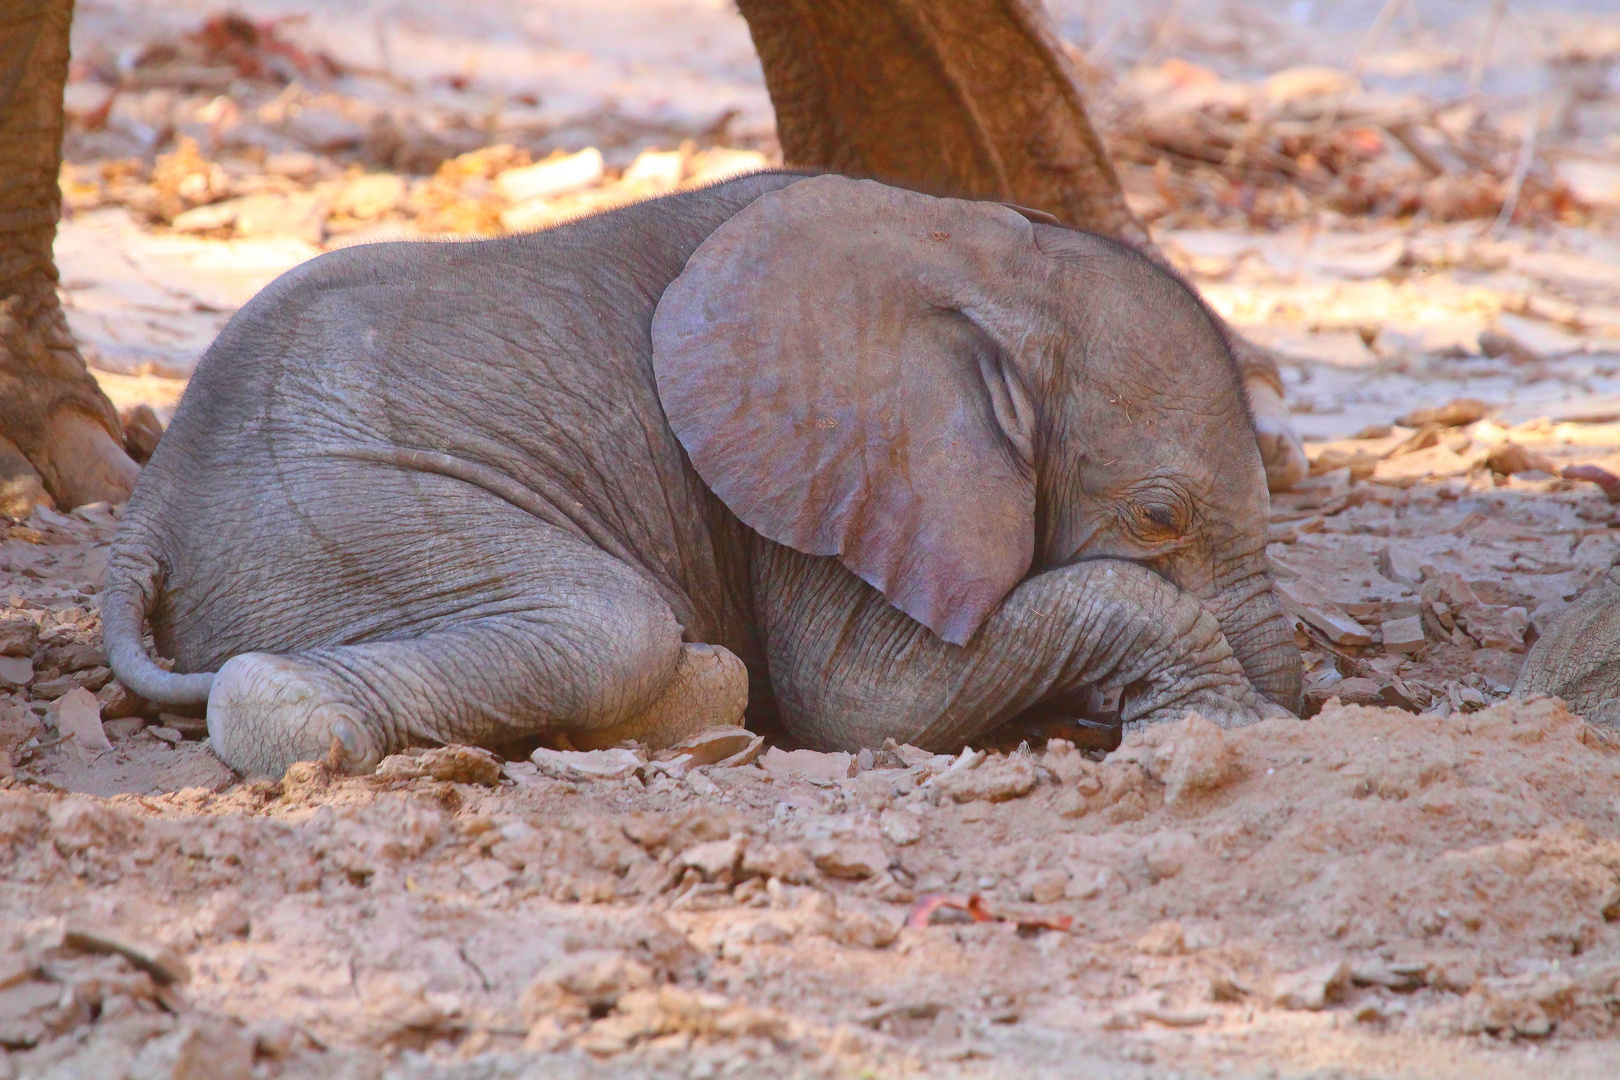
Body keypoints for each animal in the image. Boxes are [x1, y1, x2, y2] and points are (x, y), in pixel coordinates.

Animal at [104, 170, 1302, 777]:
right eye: (1159, 516)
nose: (1298, 710)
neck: (987, 255)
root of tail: (143, 514)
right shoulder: (820, 470)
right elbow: (868, 702)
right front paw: (1228, 729)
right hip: (338, 517)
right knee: (611, 626)